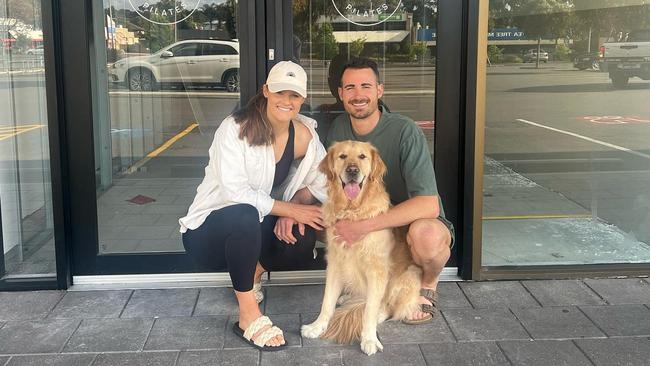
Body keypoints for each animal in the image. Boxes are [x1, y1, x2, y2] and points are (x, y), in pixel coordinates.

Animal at [300, 139, 420, 354]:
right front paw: (317, 326)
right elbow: (327, 301)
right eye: (342, 156)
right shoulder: (335, 263)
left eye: (362, 157)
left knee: (387, 307)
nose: (352, 170)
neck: (352, 210)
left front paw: (369, 338)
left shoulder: (377, 270)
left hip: (409, 276)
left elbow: (370, 310)